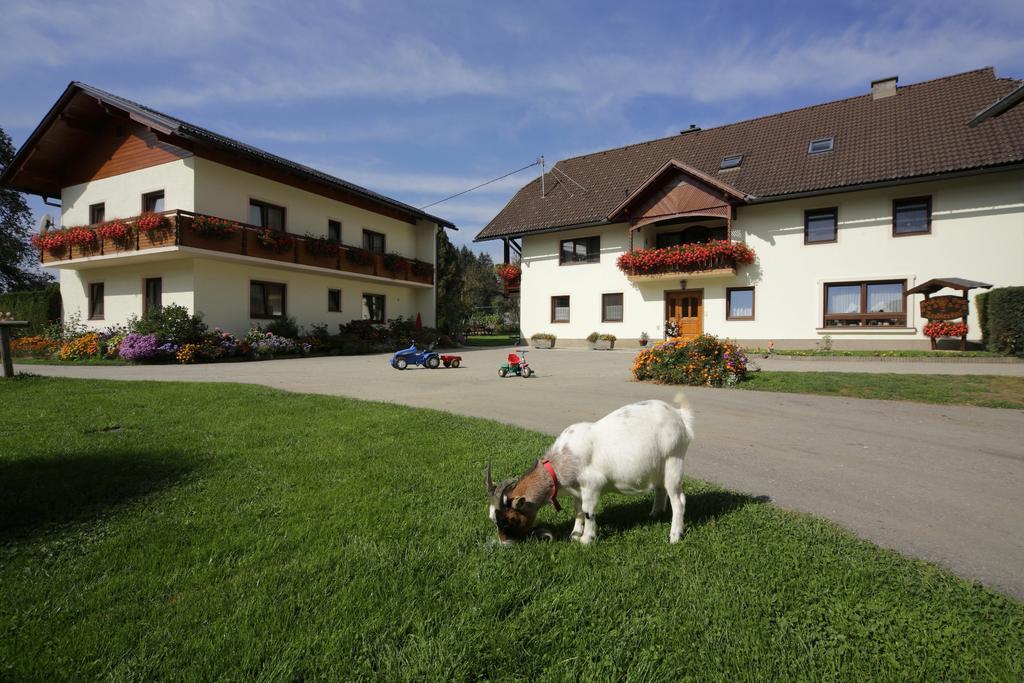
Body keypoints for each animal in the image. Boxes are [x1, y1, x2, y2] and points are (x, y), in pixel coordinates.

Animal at [487, 395, 696, 544]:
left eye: (506, 519)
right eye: (493, 519)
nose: (505, 544)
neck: (561, 461)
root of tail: (680, 416)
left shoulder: (592, 485)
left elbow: (588, 511)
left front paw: (586, 539)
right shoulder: (576, 491)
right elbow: (578, 510)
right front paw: (574, 533)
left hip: (674, 460)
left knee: (679, 500)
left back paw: (675, 536)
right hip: (659, 465)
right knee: (661, 489)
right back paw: (655, 514)